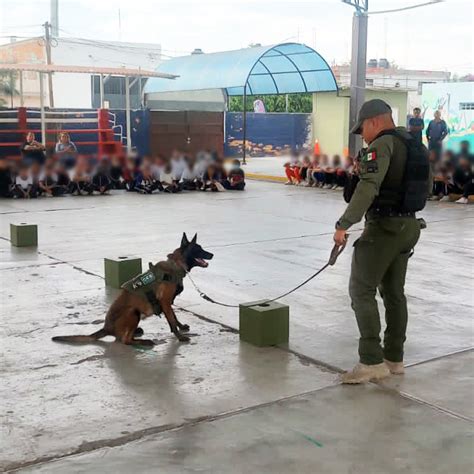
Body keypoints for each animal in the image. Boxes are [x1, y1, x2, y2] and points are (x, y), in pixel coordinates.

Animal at [51, 232, 213, 344]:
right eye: (198, 249)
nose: (212, 254)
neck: (176, 265)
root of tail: (106, 328)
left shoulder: (167, 303)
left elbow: (174, 317)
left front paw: (181, 327)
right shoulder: (165, 302)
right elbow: (172, 321)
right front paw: (180, 336)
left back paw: (137, 332)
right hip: (133, 312)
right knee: (125, 341)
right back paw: (144, 341)